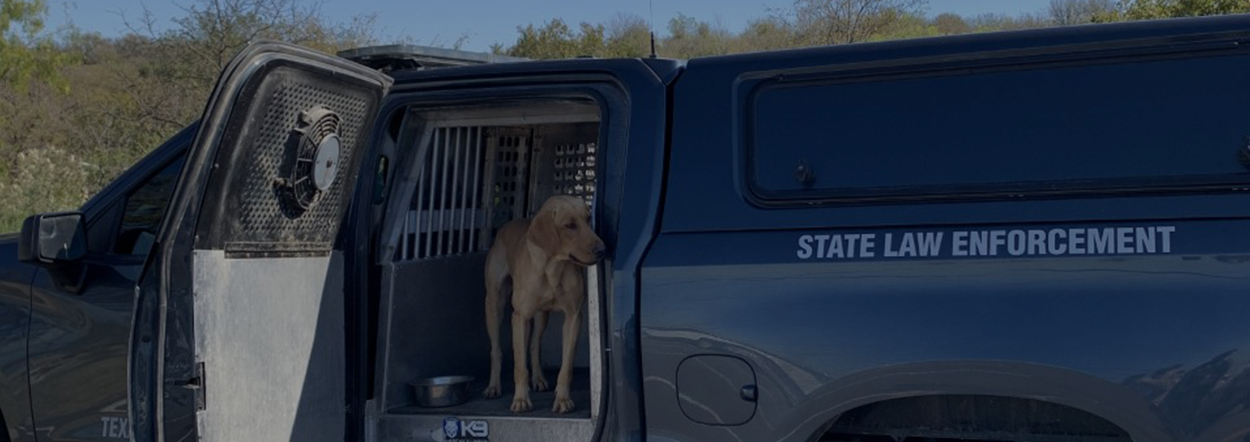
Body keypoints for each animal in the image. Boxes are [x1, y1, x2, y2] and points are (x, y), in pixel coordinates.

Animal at [482, 194, 605, 412]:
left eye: (588, 218)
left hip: (541, 317)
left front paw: (562, 399)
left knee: (534, 345)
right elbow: (519, 366)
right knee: (497, 350)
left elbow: (566, 366)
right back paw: (493, 386)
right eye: (570, 225)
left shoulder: (574, 317)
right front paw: (520, 399)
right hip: (494, 306)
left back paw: (538, 379)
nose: (602, 250)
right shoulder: (520, 317)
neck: (552, 268)